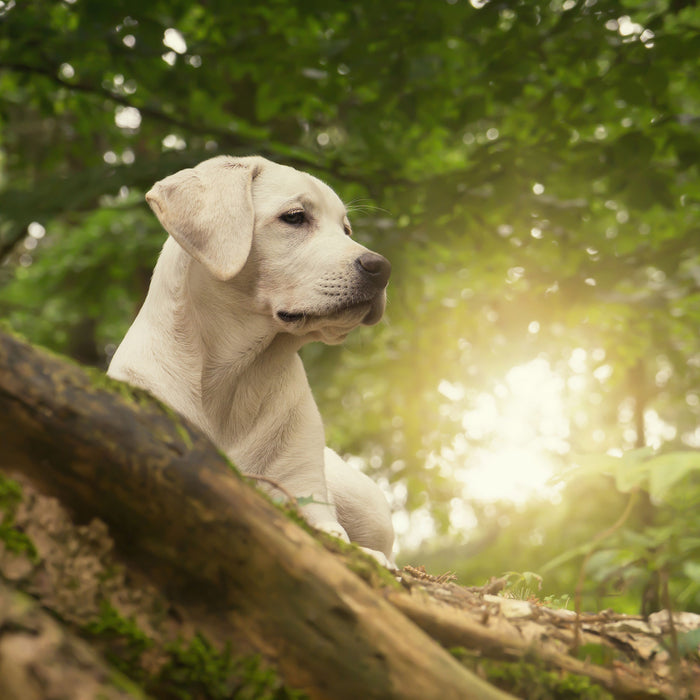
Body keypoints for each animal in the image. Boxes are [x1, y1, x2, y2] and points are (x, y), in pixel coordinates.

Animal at [107, 156, 396, 568]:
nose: (382, 267)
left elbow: (332, 532)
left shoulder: (303, 490)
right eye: (295, 217)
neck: (236, 374)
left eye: (346, 229)